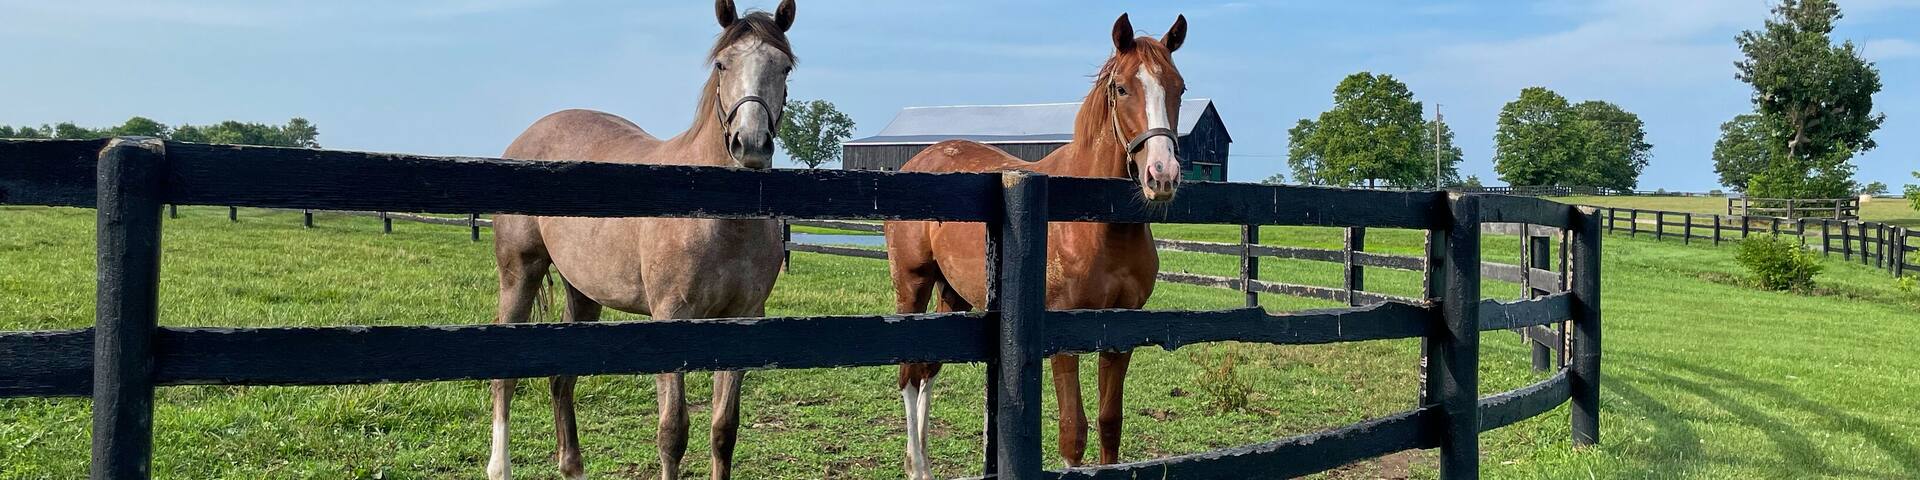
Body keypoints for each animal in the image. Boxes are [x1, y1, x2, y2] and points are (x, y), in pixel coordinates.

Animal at [484, 1, 797, 479]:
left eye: (784, 67)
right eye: (723, 64)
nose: (751, 144)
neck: (720, 220)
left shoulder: (742, 319)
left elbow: (724, 431)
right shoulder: (669, 319)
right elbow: (673, 433)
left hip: (583, 292)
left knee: (562, 380)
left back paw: (572, 466)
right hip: (520, 273)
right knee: (505, 379)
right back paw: (499, 467)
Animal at [883, 13, 1189, 478]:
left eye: (1179, 87)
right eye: (1122, 88)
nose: (1162, 174)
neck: (1097, 223)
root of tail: (918, 161)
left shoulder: (1121, 332)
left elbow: (1110, 424)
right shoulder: (1062, 331)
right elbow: (1072, 432)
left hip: (951, 293)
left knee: (928, 368)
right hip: (911, 285)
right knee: (909, 374)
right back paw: (918, 466)